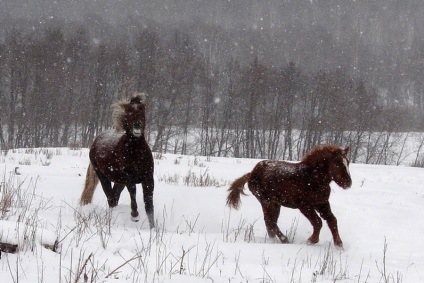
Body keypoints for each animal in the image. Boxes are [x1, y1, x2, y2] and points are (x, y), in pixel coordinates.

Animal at [79, 93, 154, 229]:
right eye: (129, 110)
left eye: (142, 109)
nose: (137, 125)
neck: (136, 153)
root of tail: (96, 140)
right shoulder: (128, 178)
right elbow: (133, 192)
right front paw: (134, 216)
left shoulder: (148, 179)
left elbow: (149, 204)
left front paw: (153, 229)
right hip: (104, 177)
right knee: (111, 198)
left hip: (119, 182)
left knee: (114, 197)